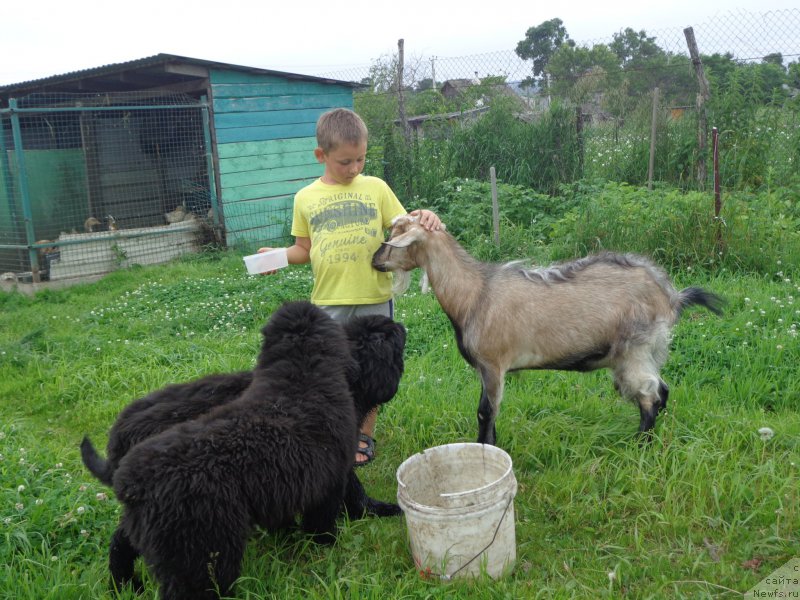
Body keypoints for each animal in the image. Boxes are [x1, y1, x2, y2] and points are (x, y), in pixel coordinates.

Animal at [94, 304, 406, 600]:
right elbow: (347, 493)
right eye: (384, 337)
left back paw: (124, 586)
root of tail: (119, 433)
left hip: (149, 524)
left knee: (121, 542)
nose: (401, 325)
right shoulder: (329, 463)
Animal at [372, 216, 720, 446]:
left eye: (393, 236)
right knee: (661, 390)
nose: (375, 260)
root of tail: (670, 296)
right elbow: (490, 411)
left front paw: (486, 448)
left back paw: (640, 444)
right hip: (644, 352)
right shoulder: (485, 369)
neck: (475, 294)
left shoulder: (493, 363)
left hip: (635, 349)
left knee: (650, 395)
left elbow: (485, 412)